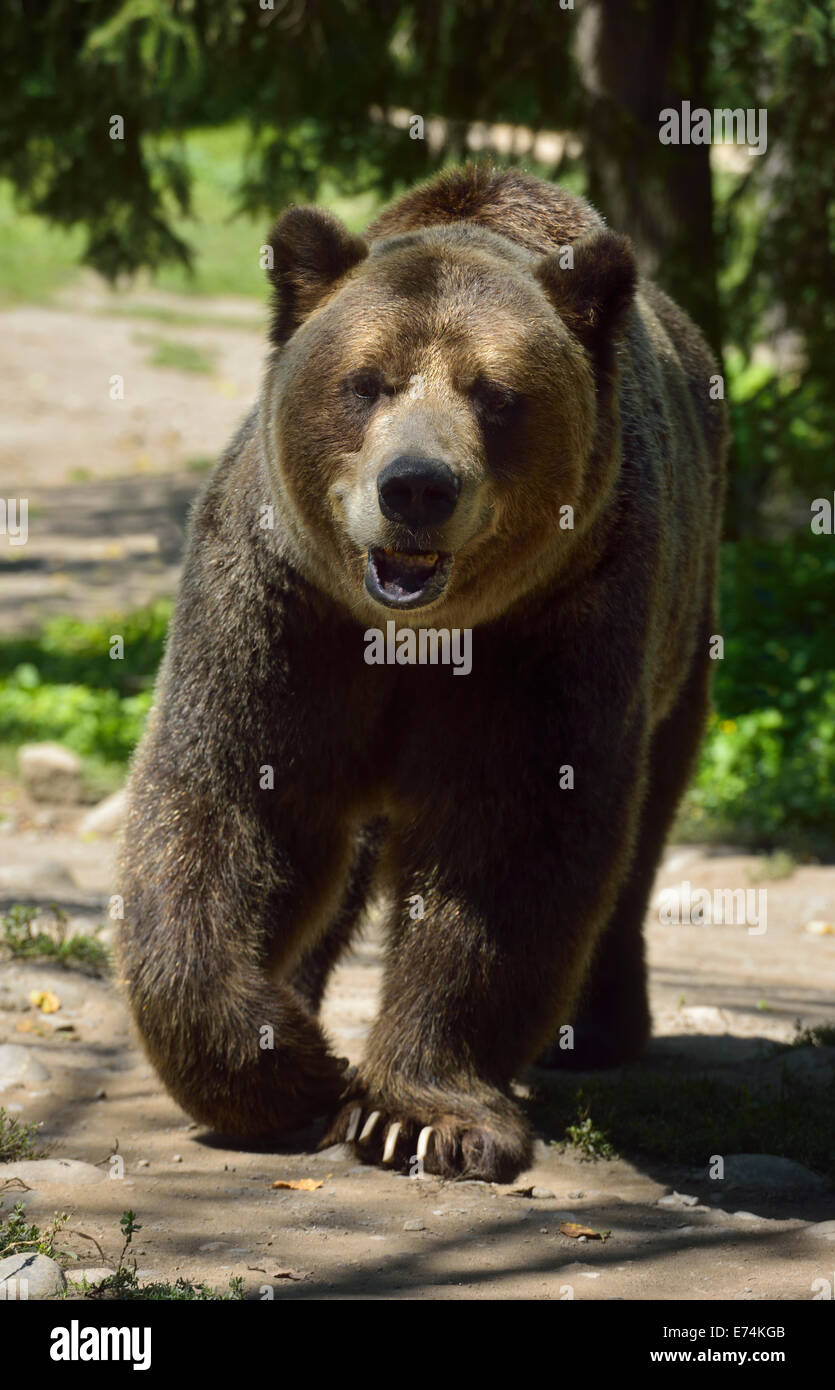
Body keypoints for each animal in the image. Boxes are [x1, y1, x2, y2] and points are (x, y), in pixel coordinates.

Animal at [115, 165, 722, 1184]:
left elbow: (512, 846)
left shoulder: (556, 622)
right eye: (366, 382)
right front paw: (287, 1062)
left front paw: (417, 1114)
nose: (416, 487)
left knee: (641, 829)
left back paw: (600, 1029)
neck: (415, 638)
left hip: (683, 631)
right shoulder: (281, 606)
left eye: (496, 393)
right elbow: (229, 800)